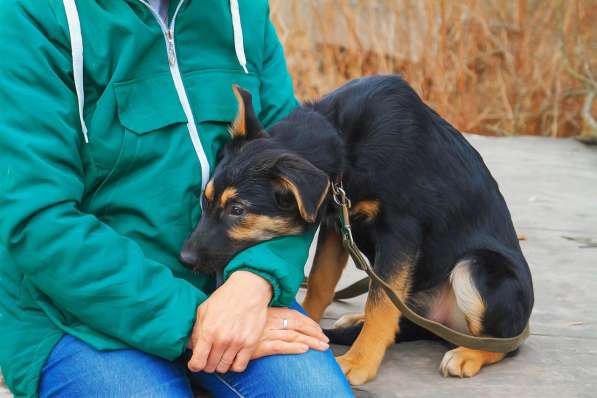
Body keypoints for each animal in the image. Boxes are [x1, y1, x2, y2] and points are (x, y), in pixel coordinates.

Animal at [179, 75, 532, 386]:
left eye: (237, 210)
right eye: (205, 200)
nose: (184, 258)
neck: (345, 143)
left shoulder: (400, 233)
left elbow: (380, 304)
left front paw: (359, 362)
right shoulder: (337, 222)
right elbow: (321, 282)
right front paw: (308, 322)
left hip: (477, 268)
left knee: (504, 345)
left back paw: (469, 354)